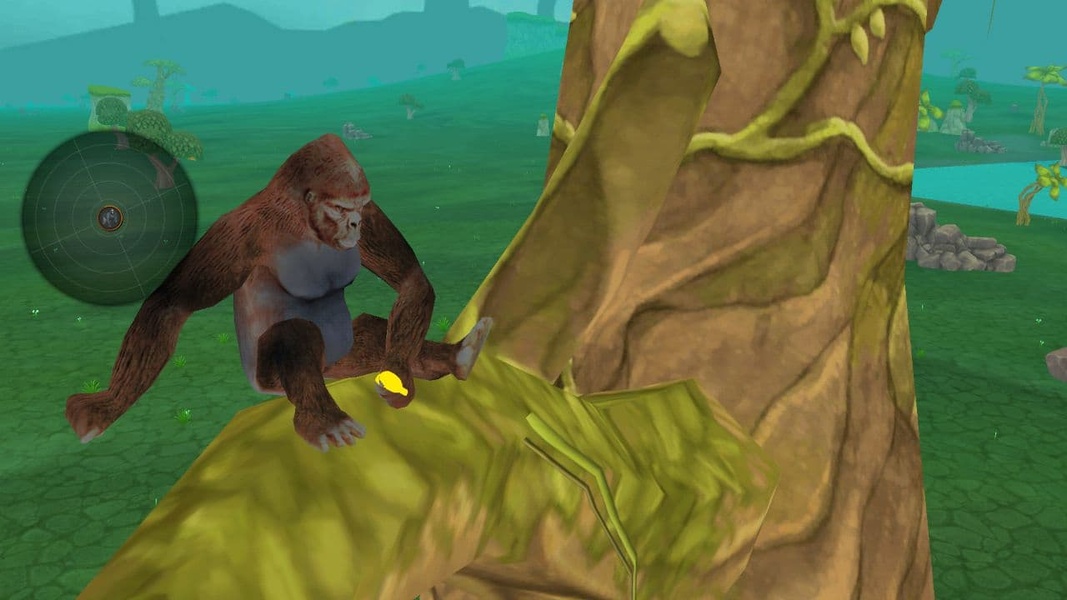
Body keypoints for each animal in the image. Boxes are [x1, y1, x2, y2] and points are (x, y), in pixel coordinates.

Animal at [65, 133, 493, 452]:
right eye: (341, 208)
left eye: (359, 206)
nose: (354, 223)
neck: (301, 222)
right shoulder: (239, 233)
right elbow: (174, 303)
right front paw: (107, 406)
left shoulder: (372, 217)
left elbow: (409, 279)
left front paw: (400, 376)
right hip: (268, 378)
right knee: (297, 334)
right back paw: (323, 421)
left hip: (341, 360)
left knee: (374, 333)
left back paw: (459, 355)